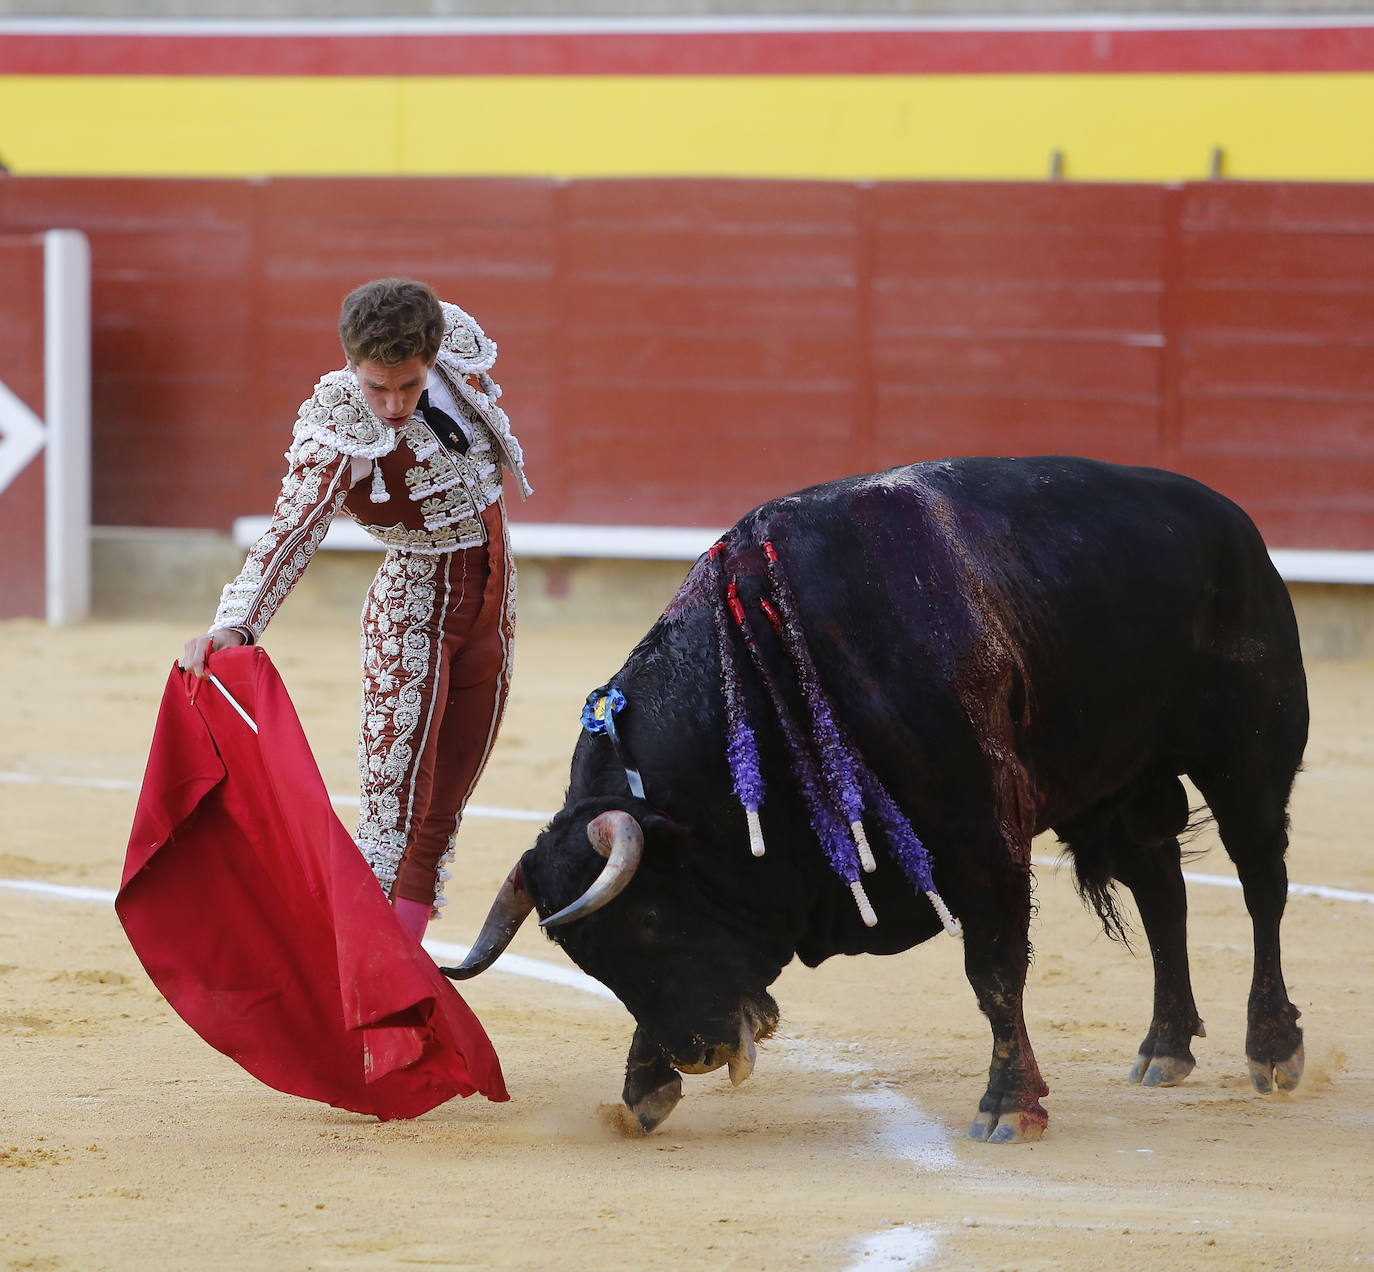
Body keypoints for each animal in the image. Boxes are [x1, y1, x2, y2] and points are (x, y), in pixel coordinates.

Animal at [447, 458, 1308, 1142]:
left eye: (653, 919)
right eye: (590, 959)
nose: (696, 1054)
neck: (769, 673)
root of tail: (1232, 519)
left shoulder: (983, 838)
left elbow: (994, 969)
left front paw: (1009, 1106)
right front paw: (644, 1086)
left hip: (1249, 759)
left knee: (1262, 884)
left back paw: (1272, 1048)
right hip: (1116, 782)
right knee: (1163, 889)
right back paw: (1165, 1047)